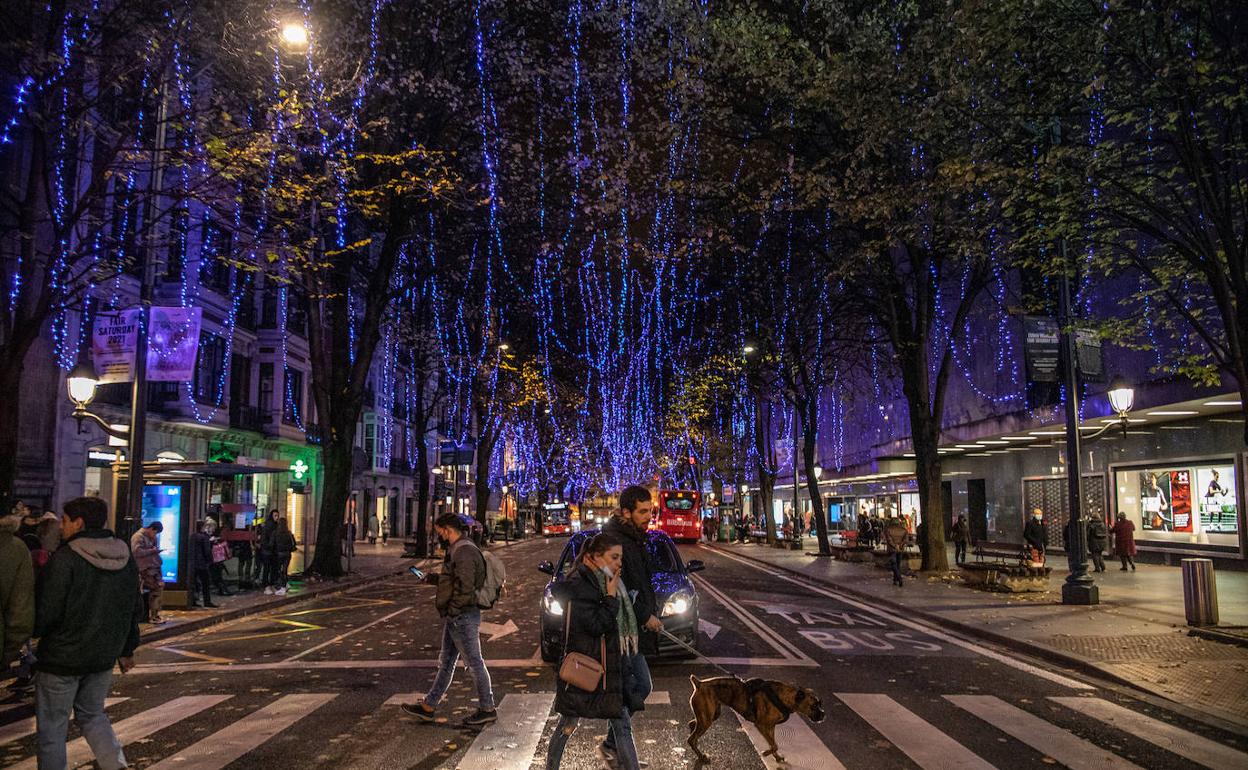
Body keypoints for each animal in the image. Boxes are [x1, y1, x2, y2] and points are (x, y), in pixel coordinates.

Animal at [688, 673, 823, 763]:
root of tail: (699, 684)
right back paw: (700, 756)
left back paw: (692, 731)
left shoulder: (770, 728)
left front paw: (776, 757)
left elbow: (773, 744)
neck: (784, 696)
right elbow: (774, 745)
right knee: (691, 739)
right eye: (813, 706)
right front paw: (766, 753)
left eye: (820, 703)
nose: (824, 715)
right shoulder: (762, 726)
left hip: (711, 715)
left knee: (692, 725)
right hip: (706, 720)